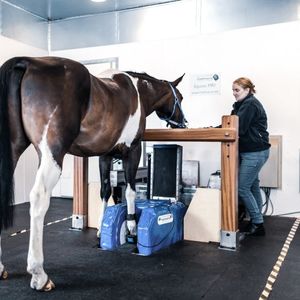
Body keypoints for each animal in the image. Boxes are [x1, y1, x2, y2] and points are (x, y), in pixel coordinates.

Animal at [0, 56, 186, 290]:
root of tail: (28, 62)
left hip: (13, 148)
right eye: (180, 97)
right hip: (52, 154)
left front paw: (100, 230)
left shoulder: (105, 156)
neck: (137, 91)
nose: (183, 123)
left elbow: (105, 192)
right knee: (39, 198)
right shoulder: (132, 150)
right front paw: (132, 226)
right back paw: (39, 274)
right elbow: (130, 191)